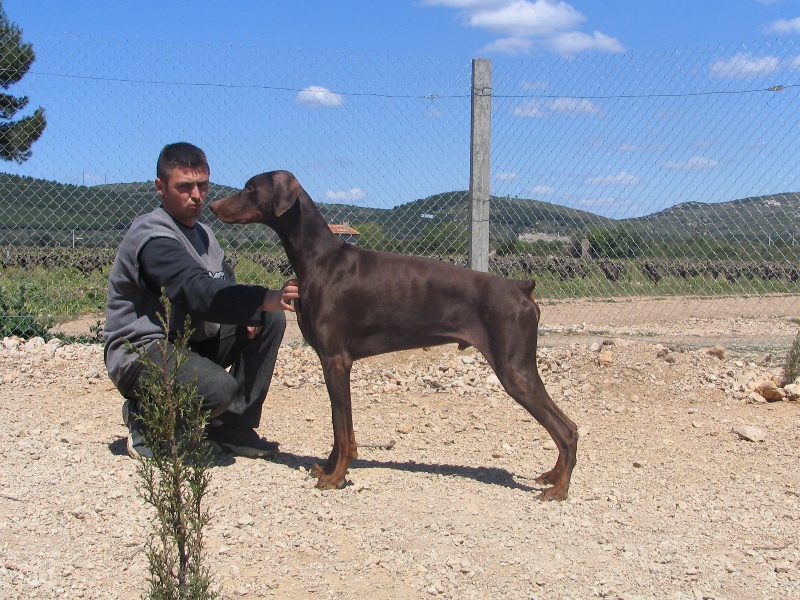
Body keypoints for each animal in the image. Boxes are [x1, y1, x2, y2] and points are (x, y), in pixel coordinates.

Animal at [209, 171, 580, 500]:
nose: (212, 205)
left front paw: (336, 477)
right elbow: (338, 428)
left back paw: (559, 489)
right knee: (568, 427)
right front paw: (327, 469)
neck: (319, 259)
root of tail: (522, 288)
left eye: (250, 187)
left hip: (514, 369)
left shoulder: (336, 361)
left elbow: (343, 430)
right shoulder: (332, 363)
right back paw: (554, 476)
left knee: (566, 429)